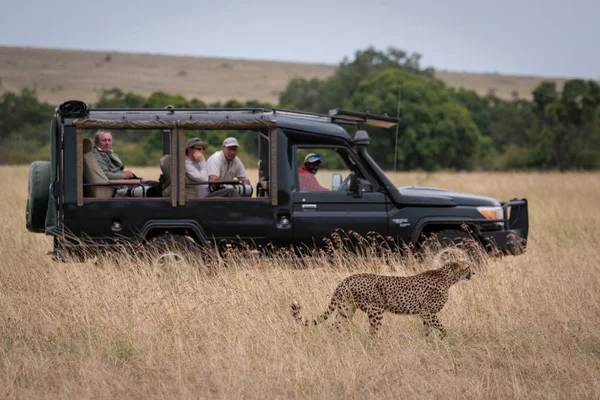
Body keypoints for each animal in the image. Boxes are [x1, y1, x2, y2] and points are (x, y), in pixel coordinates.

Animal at [290, 260, 474, 338]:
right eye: (467, 267)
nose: (474, 272)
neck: (448, 278)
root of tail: (347, 278)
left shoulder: (425, 315)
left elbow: (428, 330)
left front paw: (429, 343)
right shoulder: (427, 311)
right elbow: (441, 328)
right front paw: (443, 339)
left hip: (346, 309)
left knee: (335, 326)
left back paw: (339, 342)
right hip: (376, 310)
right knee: (372, 332)